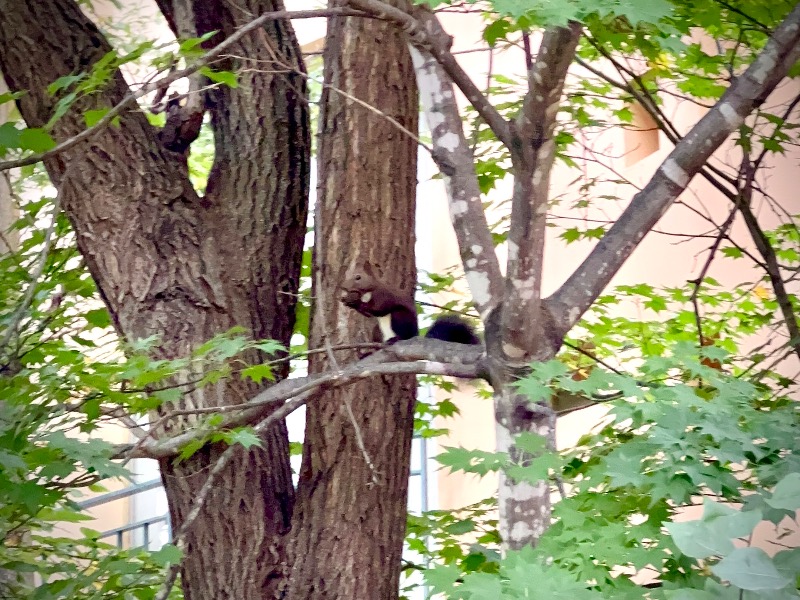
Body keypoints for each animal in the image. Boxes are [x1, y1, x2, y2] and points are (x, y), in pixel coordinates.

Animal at [340, 264, 478, 344]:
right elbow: (368, 314)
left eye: (358, 277)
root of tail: (415, 335)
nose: (343, 286)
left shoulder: (384, 296)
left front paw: (356, 302)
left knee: (404, 334)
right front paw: (349, 302)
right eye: (346, 275)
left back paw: (396, 339)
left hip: (400, 317)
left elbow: (380, 309)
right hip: (377, 331)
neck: (367, 292)